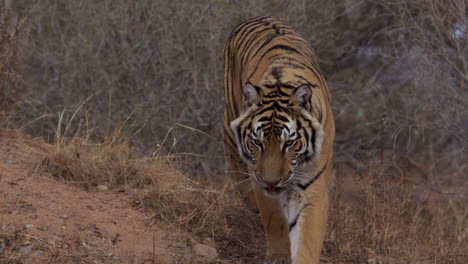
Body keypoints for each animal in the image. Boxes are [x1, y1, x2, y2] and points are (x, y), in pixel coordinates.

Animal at [225, 16, 334, 264]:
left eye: (289, 143)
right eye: (258, 142)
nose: (271, 182)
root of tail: (258, 16)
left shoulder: (313, 188)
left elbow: (307, 237)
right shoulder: (261, 183)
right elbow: (274, 220)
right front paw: (279, 256)